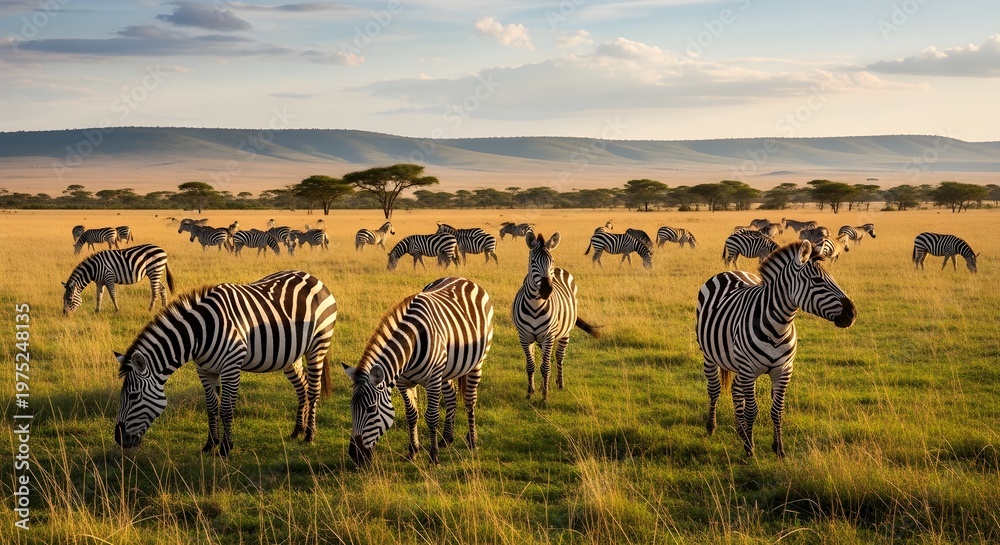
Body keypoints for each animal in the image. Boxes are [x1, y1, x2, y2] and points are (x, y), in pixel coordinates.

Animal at [114, 270, 338, 456]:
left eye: (133, 396)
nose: (118, 438)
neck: (200, 333)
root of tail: (313, 278)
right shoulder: (204, 370)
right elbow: (212, 407)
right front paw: (210, 444)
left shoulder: (231, 366)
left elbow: (226, 409)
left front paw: (225, 448)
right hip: (290, 356)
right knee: (302, 388)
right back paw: (297, 430)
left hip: (317, 346)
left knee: (313, 390)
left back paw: (309, 435)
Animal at [342, 276, 493, 466]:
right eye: (351, 408)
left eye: (370, 409)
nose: (355, 456)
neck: (411, 345)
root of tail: (464, 279)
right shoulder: (403, 382)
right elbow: (411, 414)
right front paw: (413, 451)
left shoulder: (433, 380)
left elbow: (432, 416)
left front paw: (433, 456)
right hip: (447, 369)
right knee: (451, 396)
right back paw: (446, 439)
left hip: (477, 362)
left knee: (469, 400)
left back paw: (472, 441)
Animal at [513, 232, 599, 400]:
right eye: (532, 261)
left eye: (551, 261)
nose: (546, 290)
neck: (535, 305)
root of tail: (560, 269)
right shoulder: (524, 337)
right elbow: (531, 365)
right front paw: (530, 391)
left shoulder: (548, 336)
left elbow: (545, 367)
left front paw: (545, 396)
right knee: (543, 358)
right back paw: (540, 385)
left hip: (564, 332)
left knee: (559, 357)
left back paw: (559, 383)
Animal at [697, 240, 857, 458]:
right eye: (817, 280)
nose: (852, 313)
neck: (779, 327)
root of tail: (729, 272)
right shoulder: (749, 370)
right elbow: (752, 411)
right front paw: (750, 450)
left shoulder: (784, 370)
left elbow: (777, 410)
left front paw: (778, 448)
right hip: (710, 356)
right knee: (714, 390)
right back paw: (712, 427)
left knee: (736, 389)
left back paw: (740, 431)